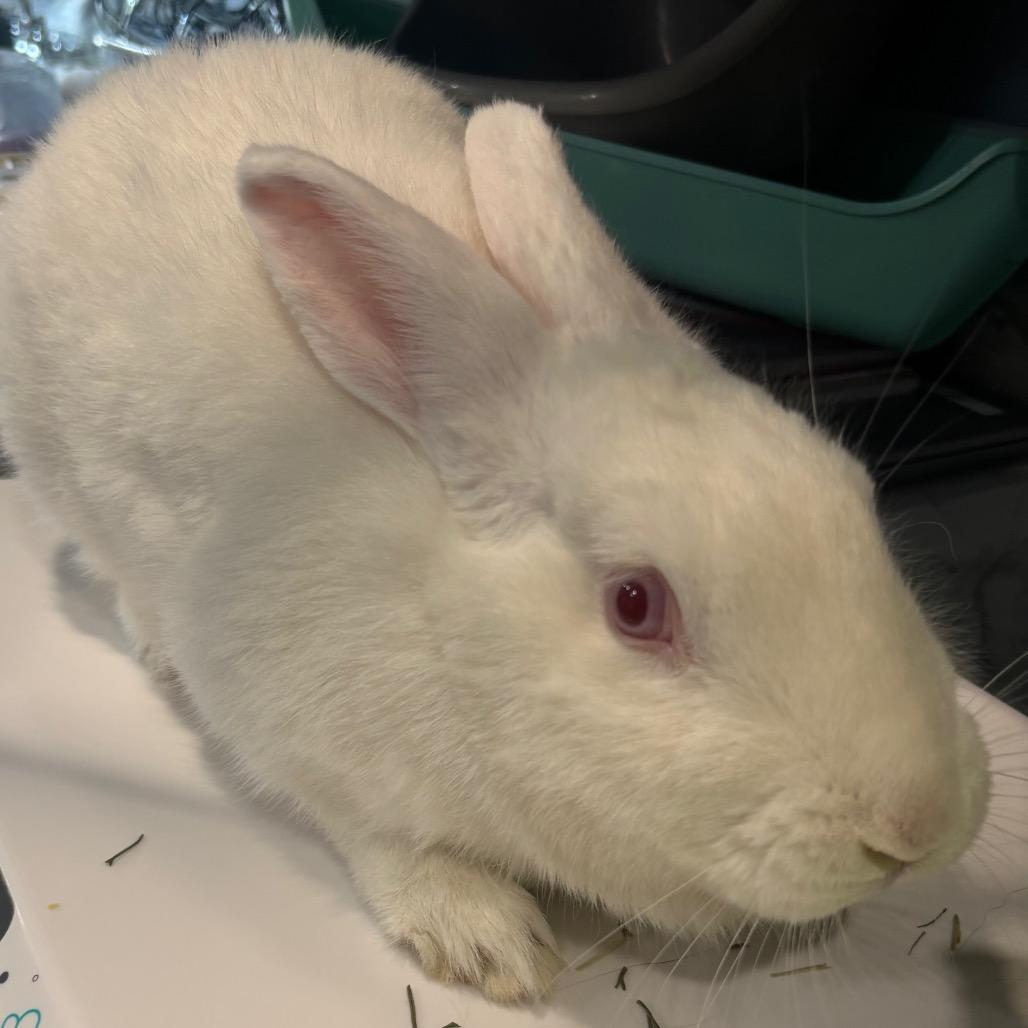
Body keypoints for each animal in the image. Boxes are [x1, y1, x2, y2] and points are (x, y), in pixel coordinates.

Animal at [0, 36, 990, 1004]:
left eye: (855, 493)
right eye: (636, 603)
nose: (916, 827)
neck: (444, 623)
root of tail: (126, 85)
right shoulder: (289, 731)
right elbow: (379, 835)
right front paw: (485, 941)